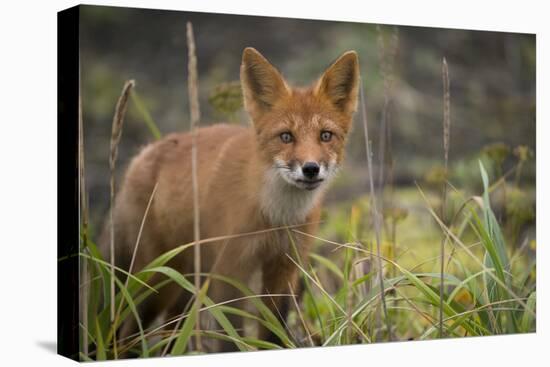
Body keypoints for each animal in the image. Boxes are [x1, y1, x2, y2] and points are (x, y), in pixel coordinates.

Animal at [103, 47, 362, 352]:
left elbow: (272, 333)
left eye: (325, 136)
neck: (275, 217)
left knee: (168, 334)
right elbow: (230, 337)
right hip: (158, 280)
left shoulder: (284, 269)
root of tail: (141, 156)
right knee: (127, 333)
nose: (311, 169)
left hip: (185, 286)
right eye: (286, 136)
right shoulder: (230, 270)